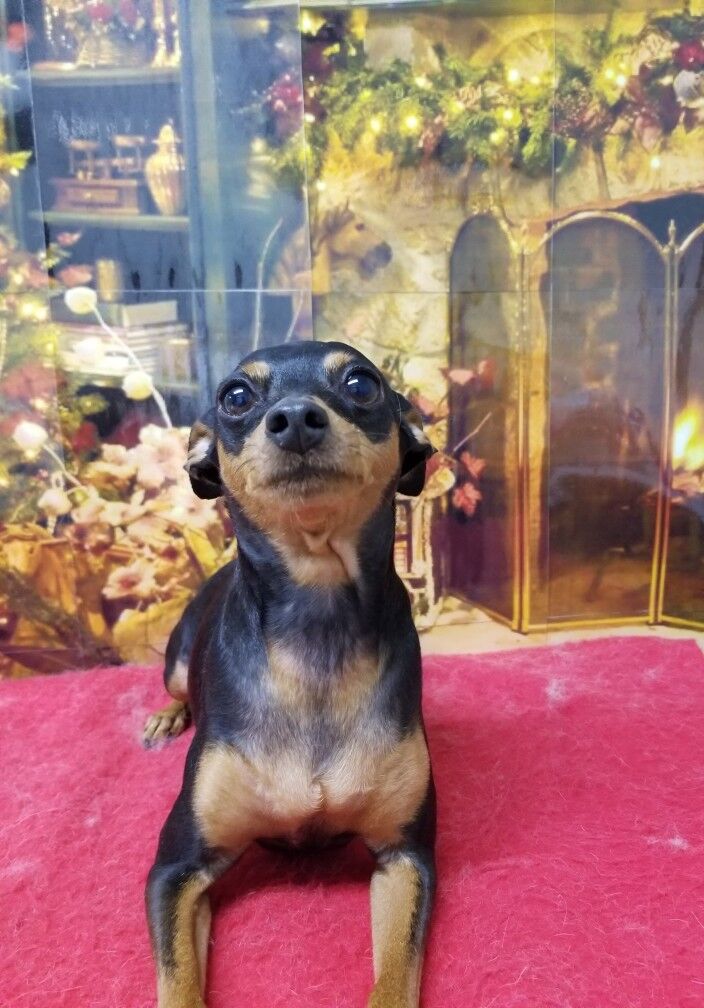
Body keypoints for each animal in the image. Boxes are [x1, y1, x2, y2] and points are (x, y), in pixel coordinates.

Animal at [144, 340, 436, 1008]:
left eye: (362, 384)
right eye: (235, 397)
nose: (296, 417)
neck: (315, 621)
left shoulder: (405, 858)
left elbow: (396, 973)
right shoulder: (177, 869)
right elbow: (178, 981)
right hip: (177, 657)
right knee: (172, 686)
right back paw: (166, 717)